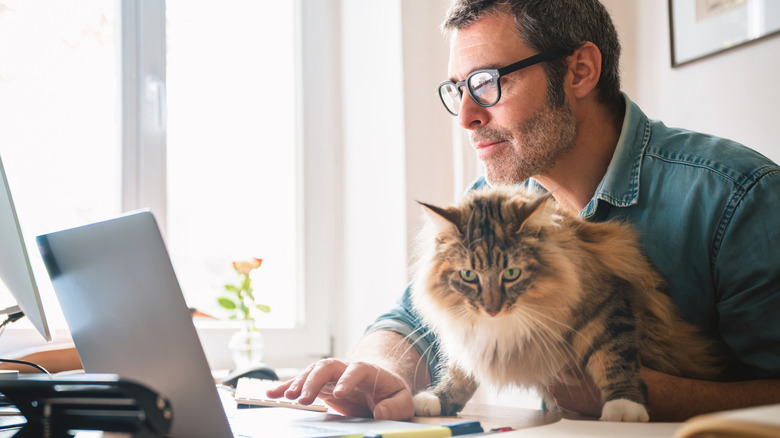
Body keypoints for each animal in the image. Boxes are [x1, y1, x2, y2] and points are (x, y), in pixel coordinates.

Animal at [412, 186, 724, 422]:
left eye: (511, 274)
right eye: (468, 275)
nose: (491, 309)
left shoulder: (607, 308)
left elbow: (615, 360)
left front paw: (624, 408)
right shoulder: (473, 336)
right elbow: (460, 373)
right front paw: (435, 400)